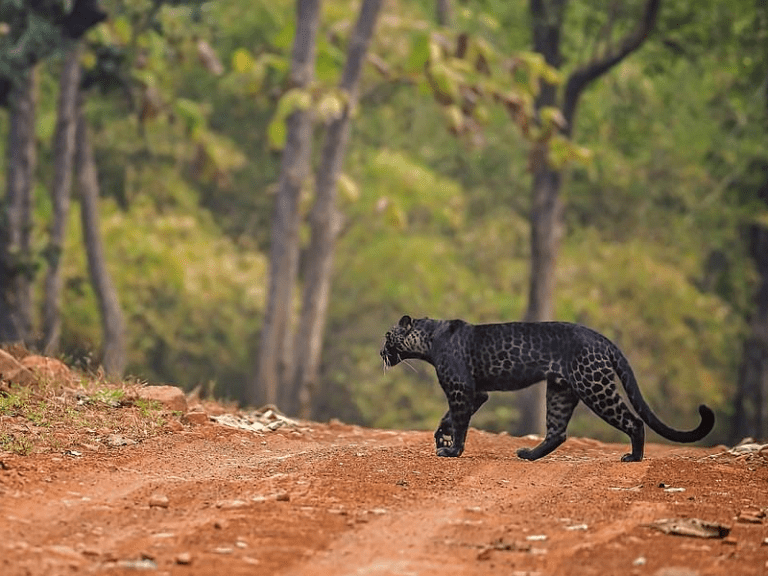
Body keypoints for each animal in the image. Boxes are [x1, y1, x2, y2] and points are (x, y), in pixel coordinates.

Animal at [380, 315, 714, 462]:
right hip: (560, 390)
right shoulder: (477, 393)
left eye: (387, 336)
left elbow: (459, 421)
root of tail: (600, 337)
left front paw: (452, 450)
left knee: (634, 420)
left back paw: (634, 458)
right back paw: (529, 454)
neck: (429, 339)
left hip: (594, 385)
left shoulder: (462, 389)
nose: (380, 351)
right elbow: (447, 418)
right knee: (557, 431)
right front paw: (442, 438)